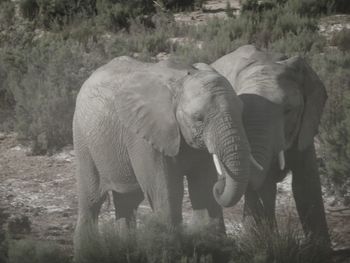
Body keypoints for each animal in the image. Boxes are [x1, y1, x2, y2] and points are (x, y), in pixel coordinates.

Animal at [73, 56, 260, 262]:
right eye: (199, 118)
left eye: (241, 111)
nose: (219, 186)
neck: (181, 80)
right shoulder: (144, 136)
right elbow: (167, 192)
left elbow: (203, 188)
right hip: (84, 139)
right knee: (92, 200)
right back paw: (86, 253)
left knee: (128, 201)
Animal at [211, 45, 330, 250]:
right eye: (241, 111)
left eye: (288, 110)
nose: (220, 184)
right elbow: (264, 185)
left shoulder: (305, 126)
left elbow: (306, 184)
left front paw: (321, 251)